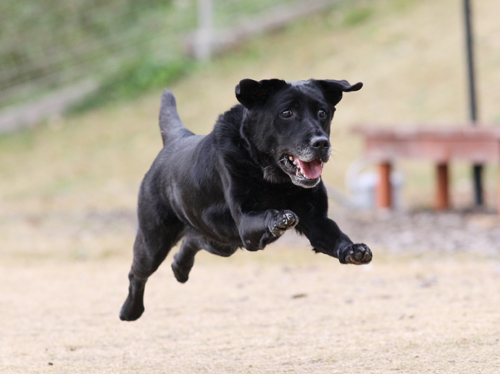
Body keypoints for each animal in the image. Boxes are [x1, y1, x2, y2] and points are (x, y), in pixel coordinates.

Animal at [120, 79, 372, 322]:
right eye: (286, 113)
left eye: (322, 112)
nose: (321, 143)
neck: (277, 180)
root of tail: (176, 139)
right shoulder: (244, 222)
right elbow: (269, 214)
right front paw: (280, 218)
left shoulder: (317, 220)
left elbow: (336, 236)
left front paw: (353, 250)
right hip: (154, 242)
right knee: (137, 272)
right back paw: (130, 310)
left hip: (222, 241)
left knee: (192, 240)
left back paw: (180, 268)